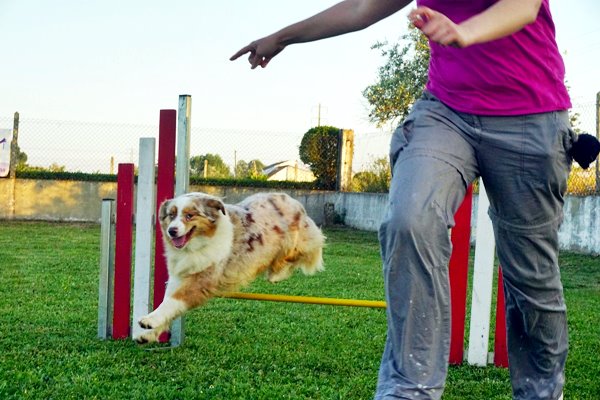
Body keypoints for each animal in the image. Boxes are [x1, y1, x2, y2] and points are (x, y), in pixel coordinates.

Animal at [134, 191, 326, 344]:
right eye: (171, 215)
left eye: (189, 215)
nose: (172, 231)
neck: (196, 245)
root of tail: (293, 201)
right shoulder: (179, 277)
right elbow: (169, 303)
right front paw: (147, 334)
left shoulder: (204, 279)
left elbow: (172, 301)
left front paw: (150, 320)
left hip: (293, 241)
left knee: (298, 253)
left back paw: (277, 274)